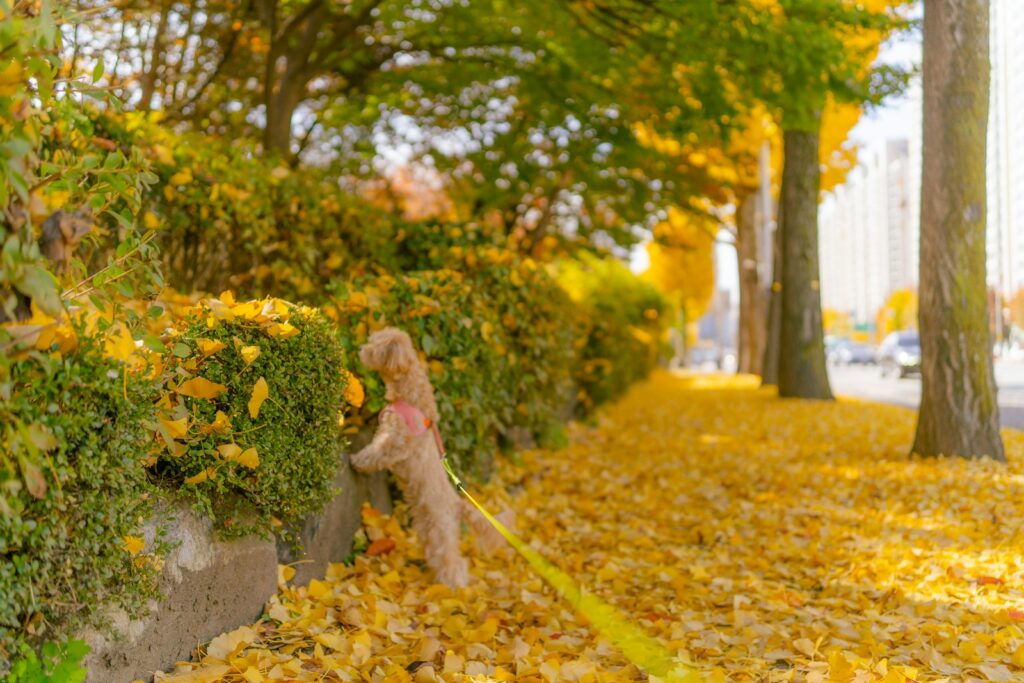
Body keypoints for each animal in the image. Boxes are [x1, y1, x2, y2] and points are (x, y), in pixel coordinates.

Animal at [350, 327, 505, 589]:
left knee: (451, 560)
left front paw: (357, 461)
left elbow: (377, 452)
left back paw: (453, 586)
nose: (361, 349)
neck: (411, 393)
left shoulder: (396, 441)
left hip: (439, 530)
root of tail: (456, 504)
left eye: (373, 346)